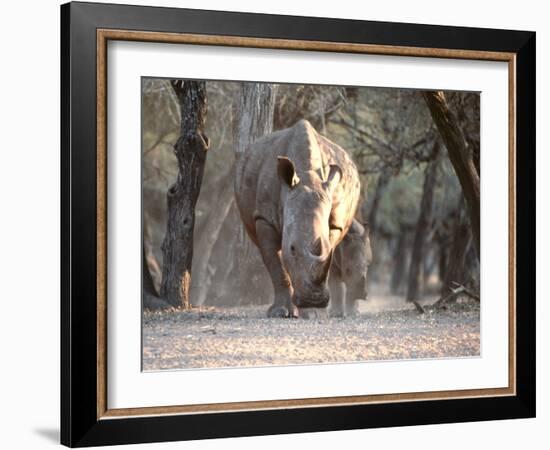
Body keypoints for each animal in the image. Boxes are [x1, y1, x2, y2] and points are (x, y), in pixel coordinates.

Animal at [236, 119, 362, 316]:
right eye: (292, 248)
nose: (313, 300)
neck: (306, 175)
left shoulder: (335, 223)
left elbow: (326, 256)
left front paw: (314, 312)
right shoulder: (264, 218)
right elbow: (275, 264)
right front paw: (279, 313)